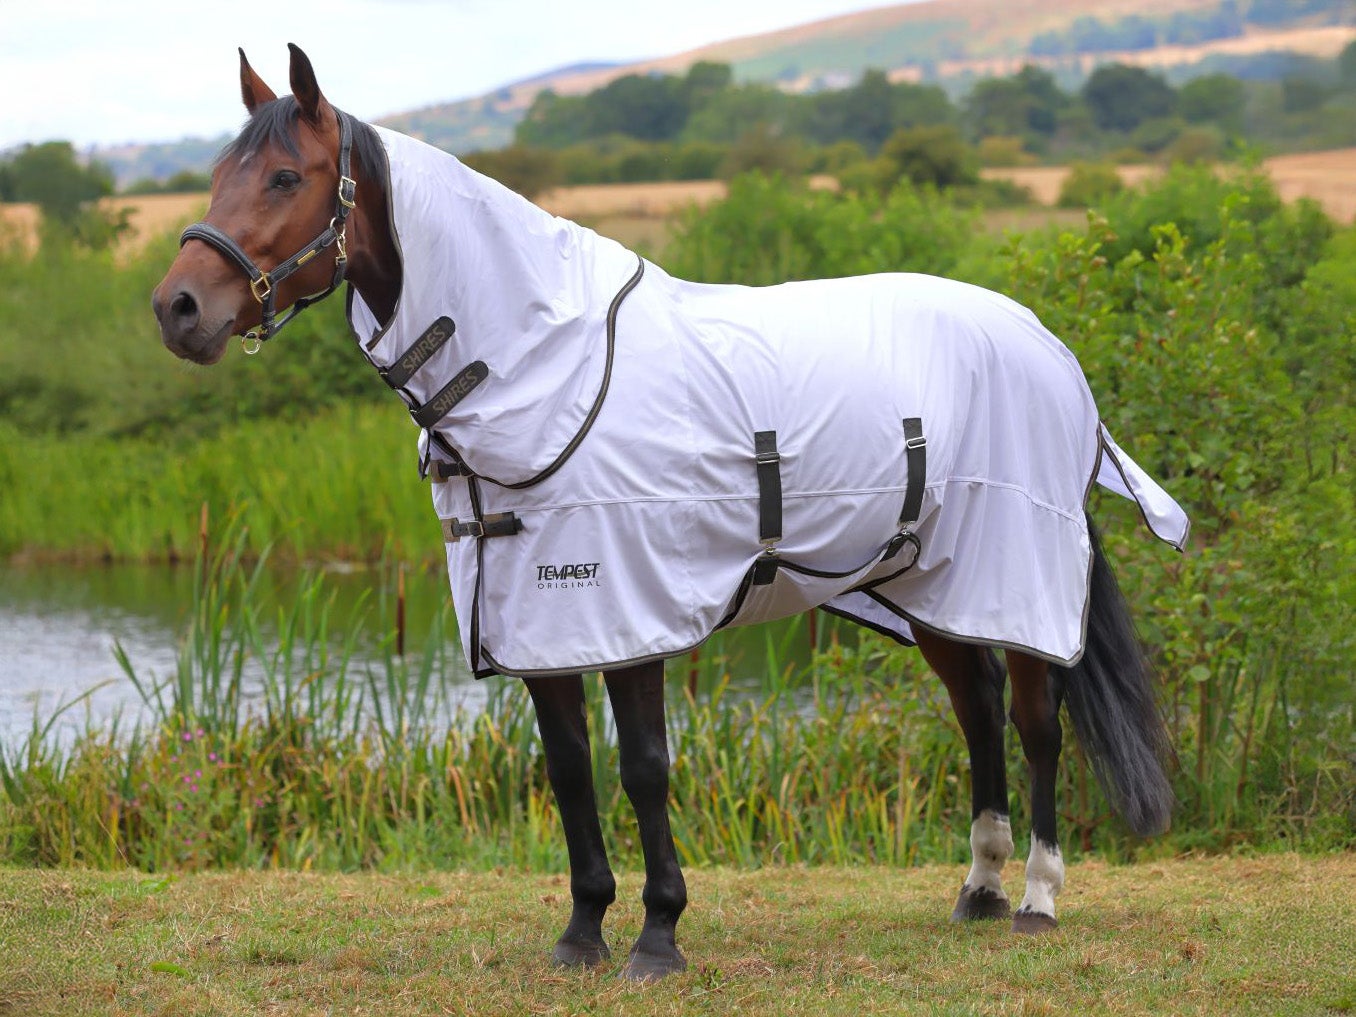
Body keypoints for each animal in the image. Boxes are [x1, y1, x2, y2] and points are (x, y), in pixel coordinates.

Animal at [152, 45, 1188, 981]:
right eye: (217, 174)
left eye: (286, 174)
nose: (178, 308)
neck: (540, 365)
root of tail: (1047, 347)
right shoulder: (542, 622)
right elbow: (570, 769)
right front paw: (581, 933)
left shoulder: (632, 609)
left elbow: (645, 766)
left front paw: (658, 936)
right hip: (932, 580)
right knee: (977, 710)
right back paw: (978, 890)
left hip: (1020, 574)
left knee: (1036, 721)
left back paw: (1039, 896)